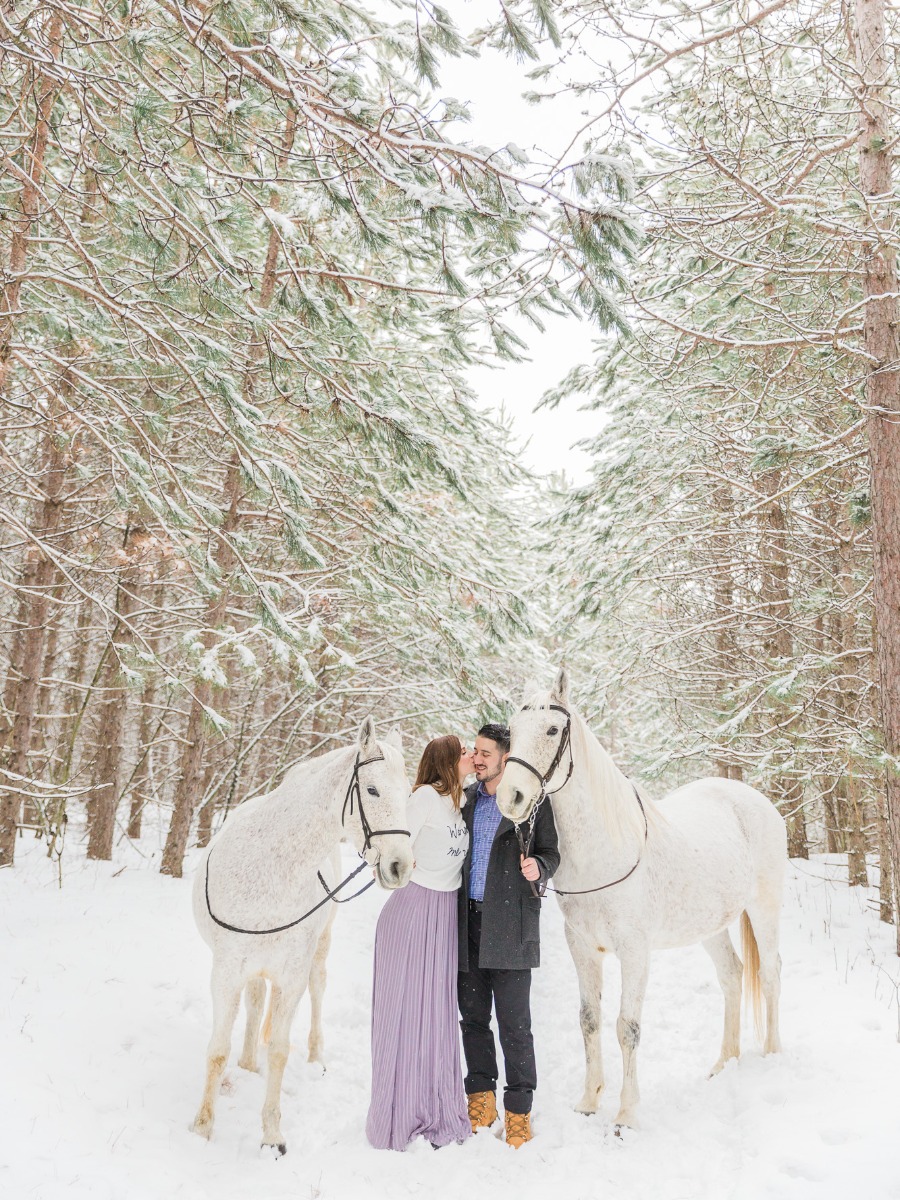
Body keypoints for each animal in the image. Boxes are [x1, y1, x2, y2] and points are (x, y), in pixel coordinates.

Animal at [193, 715, 415, 1147]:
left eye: (409, 793)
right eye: (373, 789)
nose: (400, 866)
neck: (270, 867)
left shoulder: (292, 974)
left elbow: (280, 1050)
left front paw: (271, 1134)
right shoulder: (226, 971)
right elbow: (216, 1050)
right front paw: (202, 1127)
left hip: (318, 949)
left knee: (317, 988)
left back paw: (314, 1058)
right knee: (255, 1001)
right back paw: (248, 1063)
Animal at [496, 672, 787, 1128]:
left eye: (552, 730)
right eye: (512, 729)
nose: (511, 798)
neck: (606, 849)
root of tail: (755, 799)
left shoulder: (634, 951)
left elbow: (626, 1027)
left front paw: (626, 1114)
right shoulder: (582, 947)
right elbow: (589, 1020)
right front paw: (589, 1101)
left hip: (765, 908)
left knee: (770, 973)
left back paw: (772, 1055)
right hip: (711, 925)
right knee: (733, 976)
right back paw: (724, 1064)